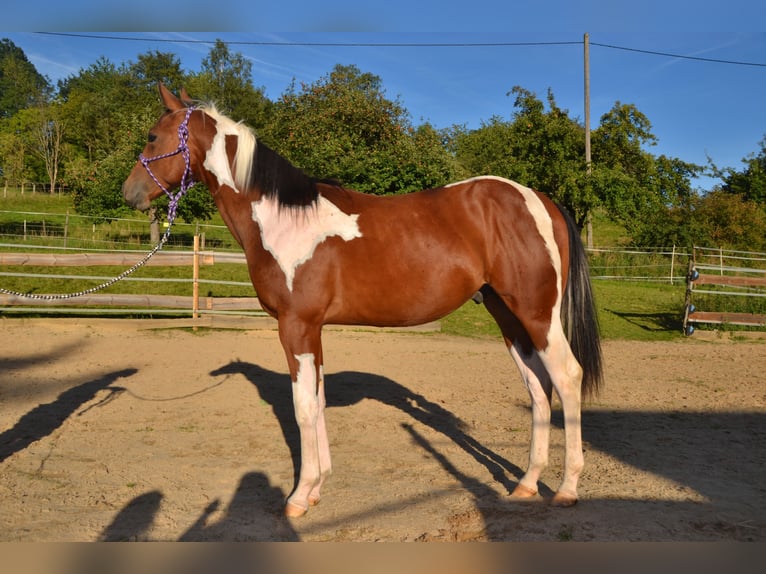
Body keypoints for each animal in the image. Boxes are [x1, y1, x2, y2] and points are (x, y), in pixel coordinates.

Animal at [122, 84, 603, 518]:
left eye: (152, 136)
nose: (130, 192)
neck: (284, 219)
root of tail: (541, 201)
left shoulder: (295, 326)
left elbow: (302, 408)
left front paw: (298, 498)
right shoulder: (313, 330)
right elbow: (317, 402)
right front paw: (317, 487)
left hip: (537, 314)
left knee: (567, 377)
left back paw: (566, 488)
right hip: (509, 317)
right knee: (538, 388)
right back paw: (525, 484)